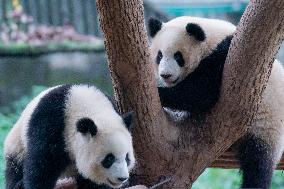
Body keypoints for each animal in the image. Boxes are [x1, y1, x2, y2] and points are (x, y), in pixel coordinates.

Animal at [3, 84, 136, 189]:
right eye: (109, 159)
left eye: (127, 157)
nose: (122, 178)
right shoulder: (51, 124)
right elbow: (41, 167)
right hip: (17, 145)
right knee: (15, 168)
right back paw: (18, 184)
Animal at [148, 16, 284, 189]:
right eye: (159, 56)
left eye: (178, 56)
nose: (165, 75)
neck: (210, 39)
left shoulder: (226, 58)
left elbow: (201, 93)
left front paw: (161, 93)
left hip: (266, 124)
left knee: (257, 165)